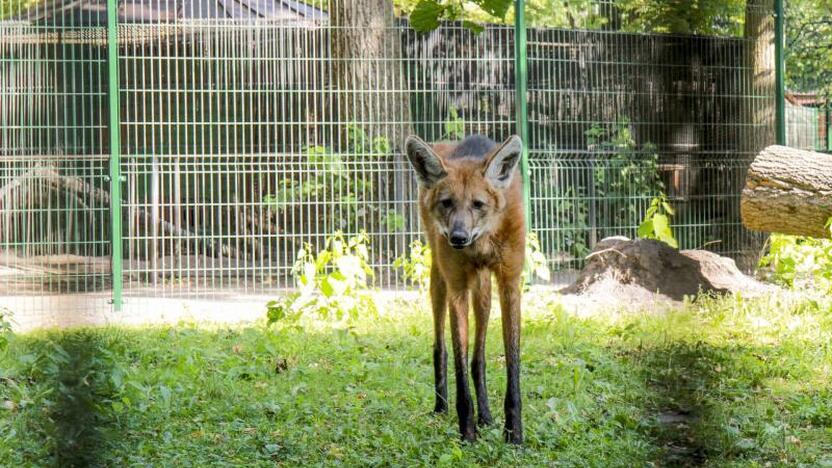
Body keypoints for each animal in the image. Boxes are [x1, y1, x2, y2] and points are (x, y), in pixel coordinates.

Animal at [404, 133, 528, 444]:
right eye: (447, 203)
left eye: (478, 204)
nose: (458, 237)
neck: (482, 241)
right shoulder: (457, 287)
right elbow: (458, 360)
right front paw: (467, 433)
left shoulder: (509, 284)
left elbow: (512, 363)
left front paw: (514, 434)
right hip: (439, 280)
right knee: (441, 347)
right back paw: (441, 407)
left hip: (483, 291)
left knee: (478, 357)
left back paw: (486, 416)